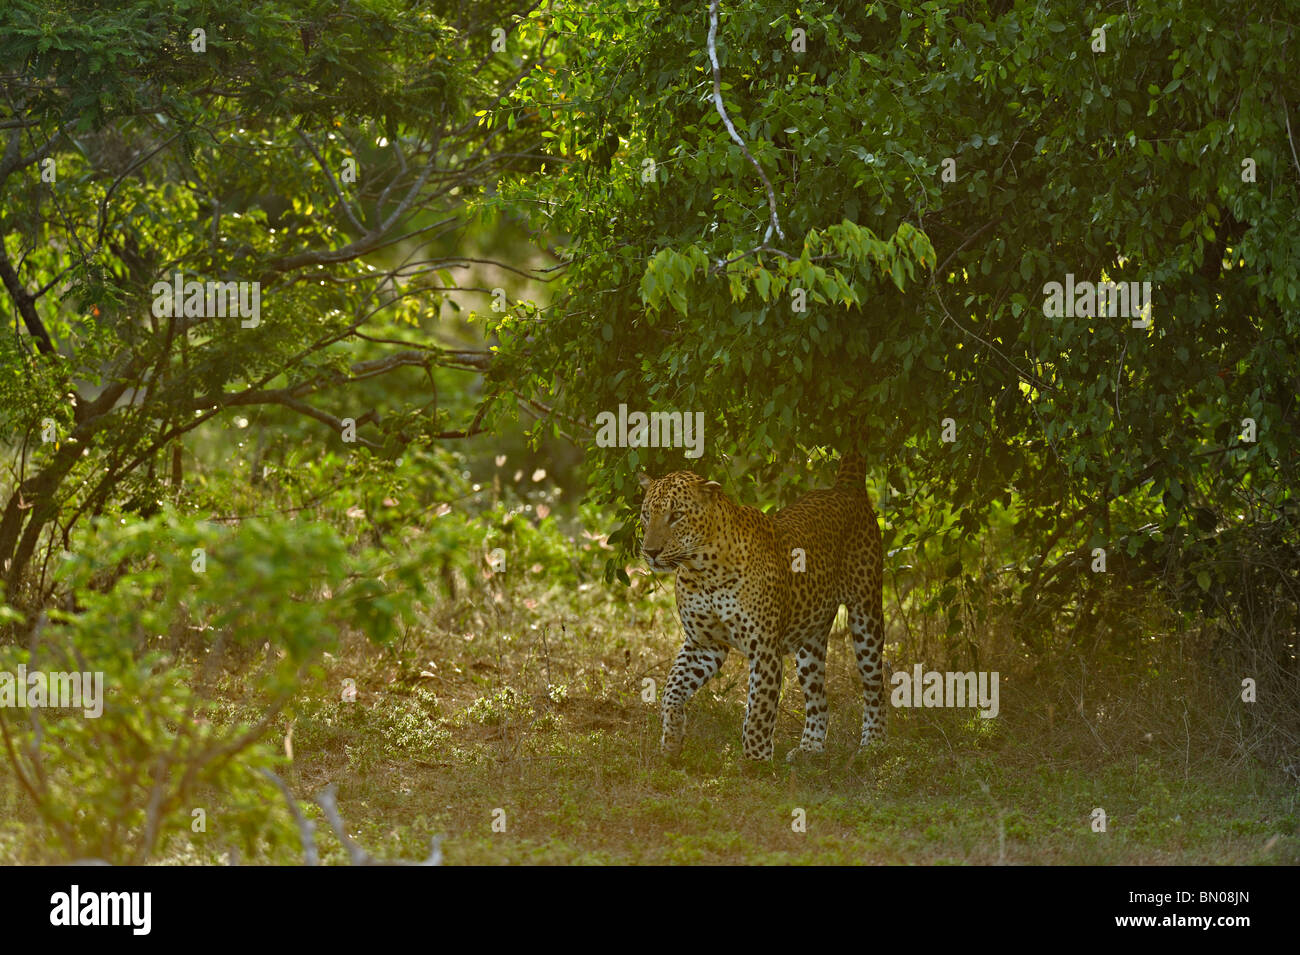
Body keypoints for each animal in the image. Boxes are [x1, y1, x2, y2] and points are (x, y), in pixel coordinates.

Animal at [637, 454, 883, 764]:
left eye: (677, 515)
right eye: (647, 515)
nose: (650, 552)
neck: (703, 571)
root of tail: (845, 488)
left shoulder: (764, 648)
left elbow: (758, 710)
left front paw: (756, 763)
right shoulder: (704, 644)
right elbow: (671, 689)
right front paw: (672, 740)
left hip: (866, 614)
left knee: (875, 686)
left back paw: (873, 744)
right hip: (810, 641)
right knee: (818, 697)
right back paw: (810, 747)